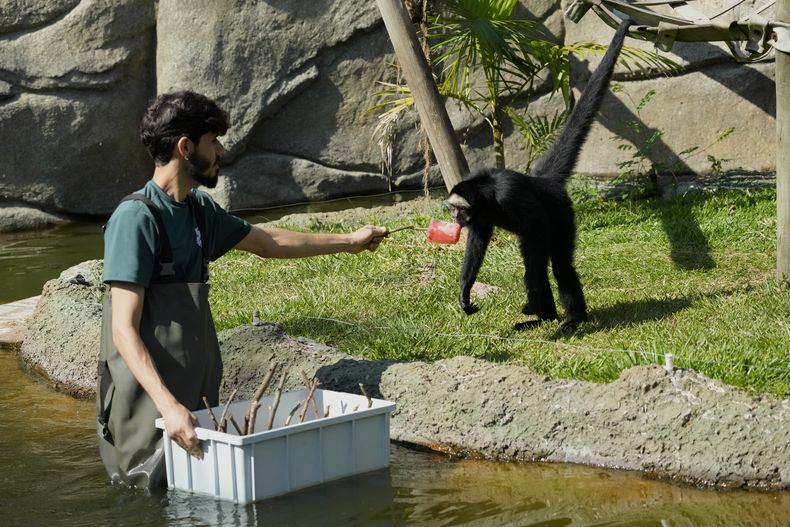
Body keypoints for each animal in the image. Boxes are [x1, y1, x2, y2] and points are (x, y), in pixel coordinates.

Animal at [447, 19, 633, 332]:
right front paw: (464, 291)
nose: (456, 218)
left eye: (459, 209)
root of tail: (544, 182)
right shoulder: (481, 213)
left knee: (557, 262)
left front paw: (533, 303)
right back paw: (545, 319)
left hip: (562, 212)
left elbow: (535, 239)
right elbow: (479, 240)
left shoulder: (511, 196)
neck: (487, 191)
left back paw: (569, 319)